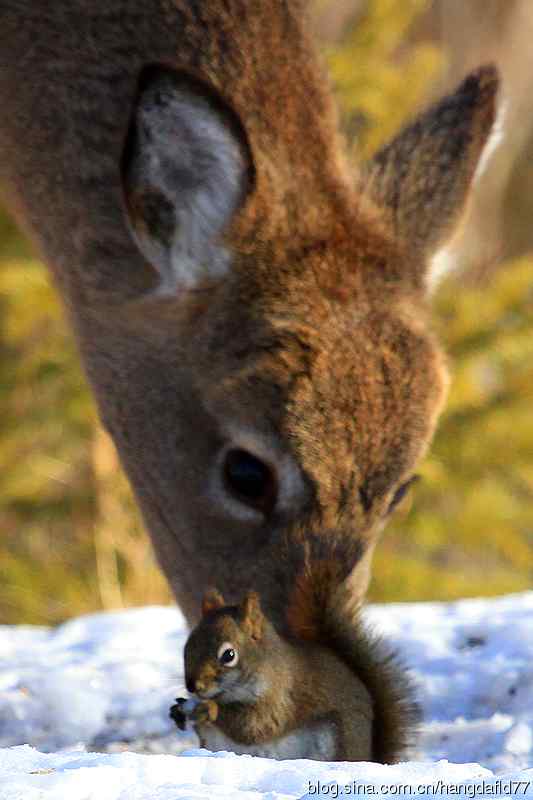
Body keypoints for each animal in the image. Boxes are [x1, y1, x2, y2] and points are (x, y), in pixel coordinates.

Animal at [170, 536, 420, 764]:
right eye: (187, 647)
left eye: (228, 655)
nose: (193, 686)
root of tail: (370, 758)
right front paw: (178, 710)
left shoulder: (281, 697)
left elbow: (254, 726)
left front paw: (209, 709)